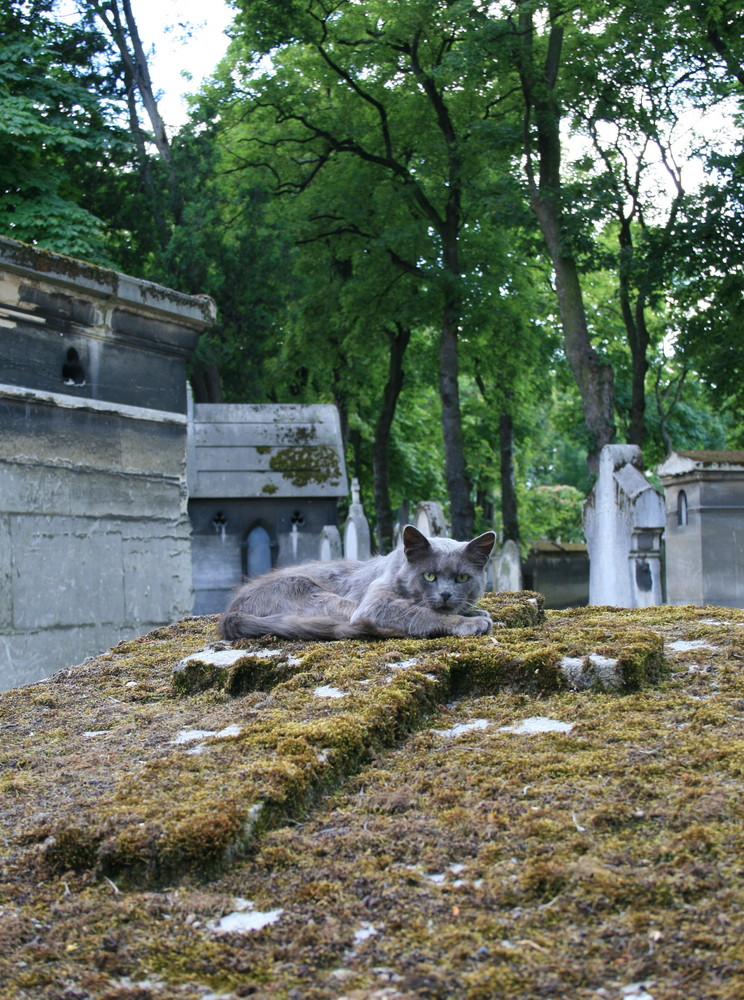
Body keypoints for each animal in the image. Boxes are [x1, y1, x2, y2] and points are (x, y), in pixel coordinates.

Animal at [222, 524, 500, 640]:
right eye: (429, 576)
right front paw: (470, 622)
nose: (445, 594)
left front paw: (474, 612)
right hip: (312, 592)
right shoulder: (375, 605)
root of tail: (232, 611)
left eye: (462, 577)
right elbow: (423, 613)